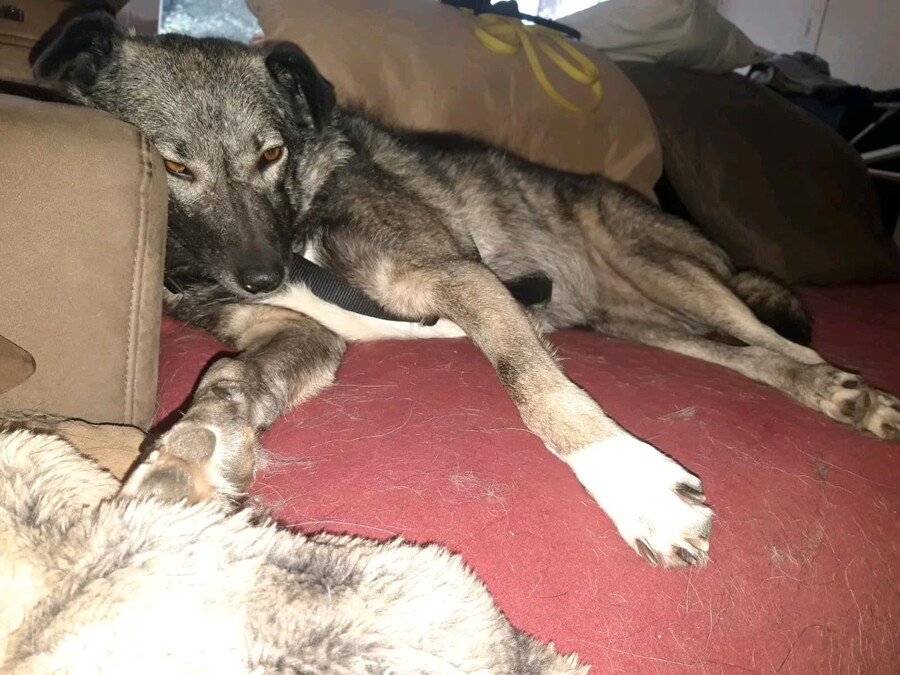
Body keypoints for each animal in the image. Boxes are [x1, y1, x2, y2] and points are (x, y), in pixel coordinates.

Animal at [35, 14, 900, 569]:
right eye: (172, 165)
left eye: (272, 153)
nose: (262, 275)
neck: (305, 222)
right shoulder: (303, 333)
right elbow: (230, 375)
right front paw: (196, 447)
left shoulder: (459, 276)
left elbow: (535, 389)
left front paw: (635, 486)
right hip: (647, 325)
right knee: (754, 359)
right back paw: (832, 393)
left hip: (668, 266)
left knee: (778, 338)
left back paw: (855, 393)